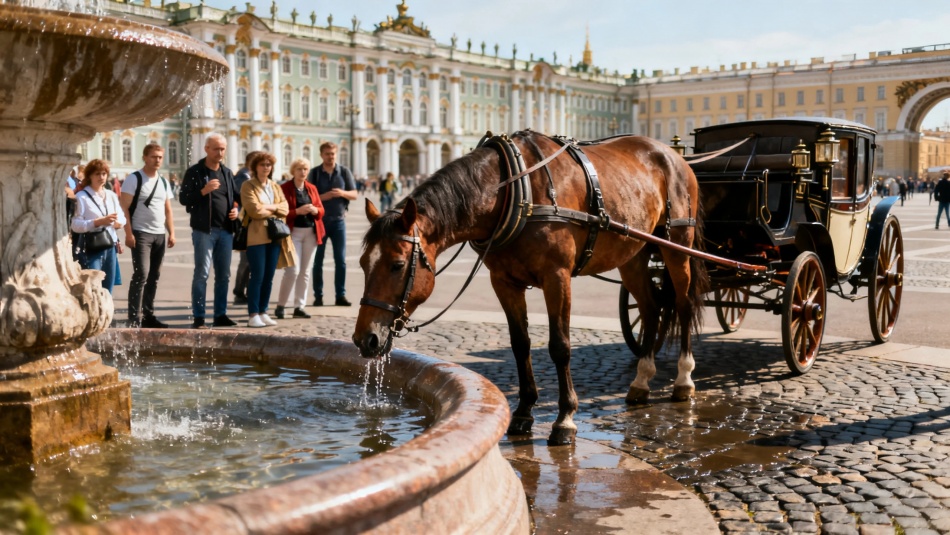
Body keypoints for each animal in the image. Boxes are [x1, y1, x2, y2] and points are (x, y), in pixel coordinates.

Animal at [353, 130, 707, 446]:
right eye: (362, 263)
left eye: (397, 265)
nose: (365, 340)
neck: (516, 192)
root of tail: (674, 154)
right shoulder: (504, 282)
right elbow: (520, 344)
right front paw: (523, 412)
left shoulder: (557, 277)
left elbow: (560, 346)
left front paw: (565, 419)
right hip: (633, 254)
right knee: (650, 307)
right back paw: (641, 382)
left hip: (678, 246)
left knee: (683, 304)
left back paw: (684, 379)